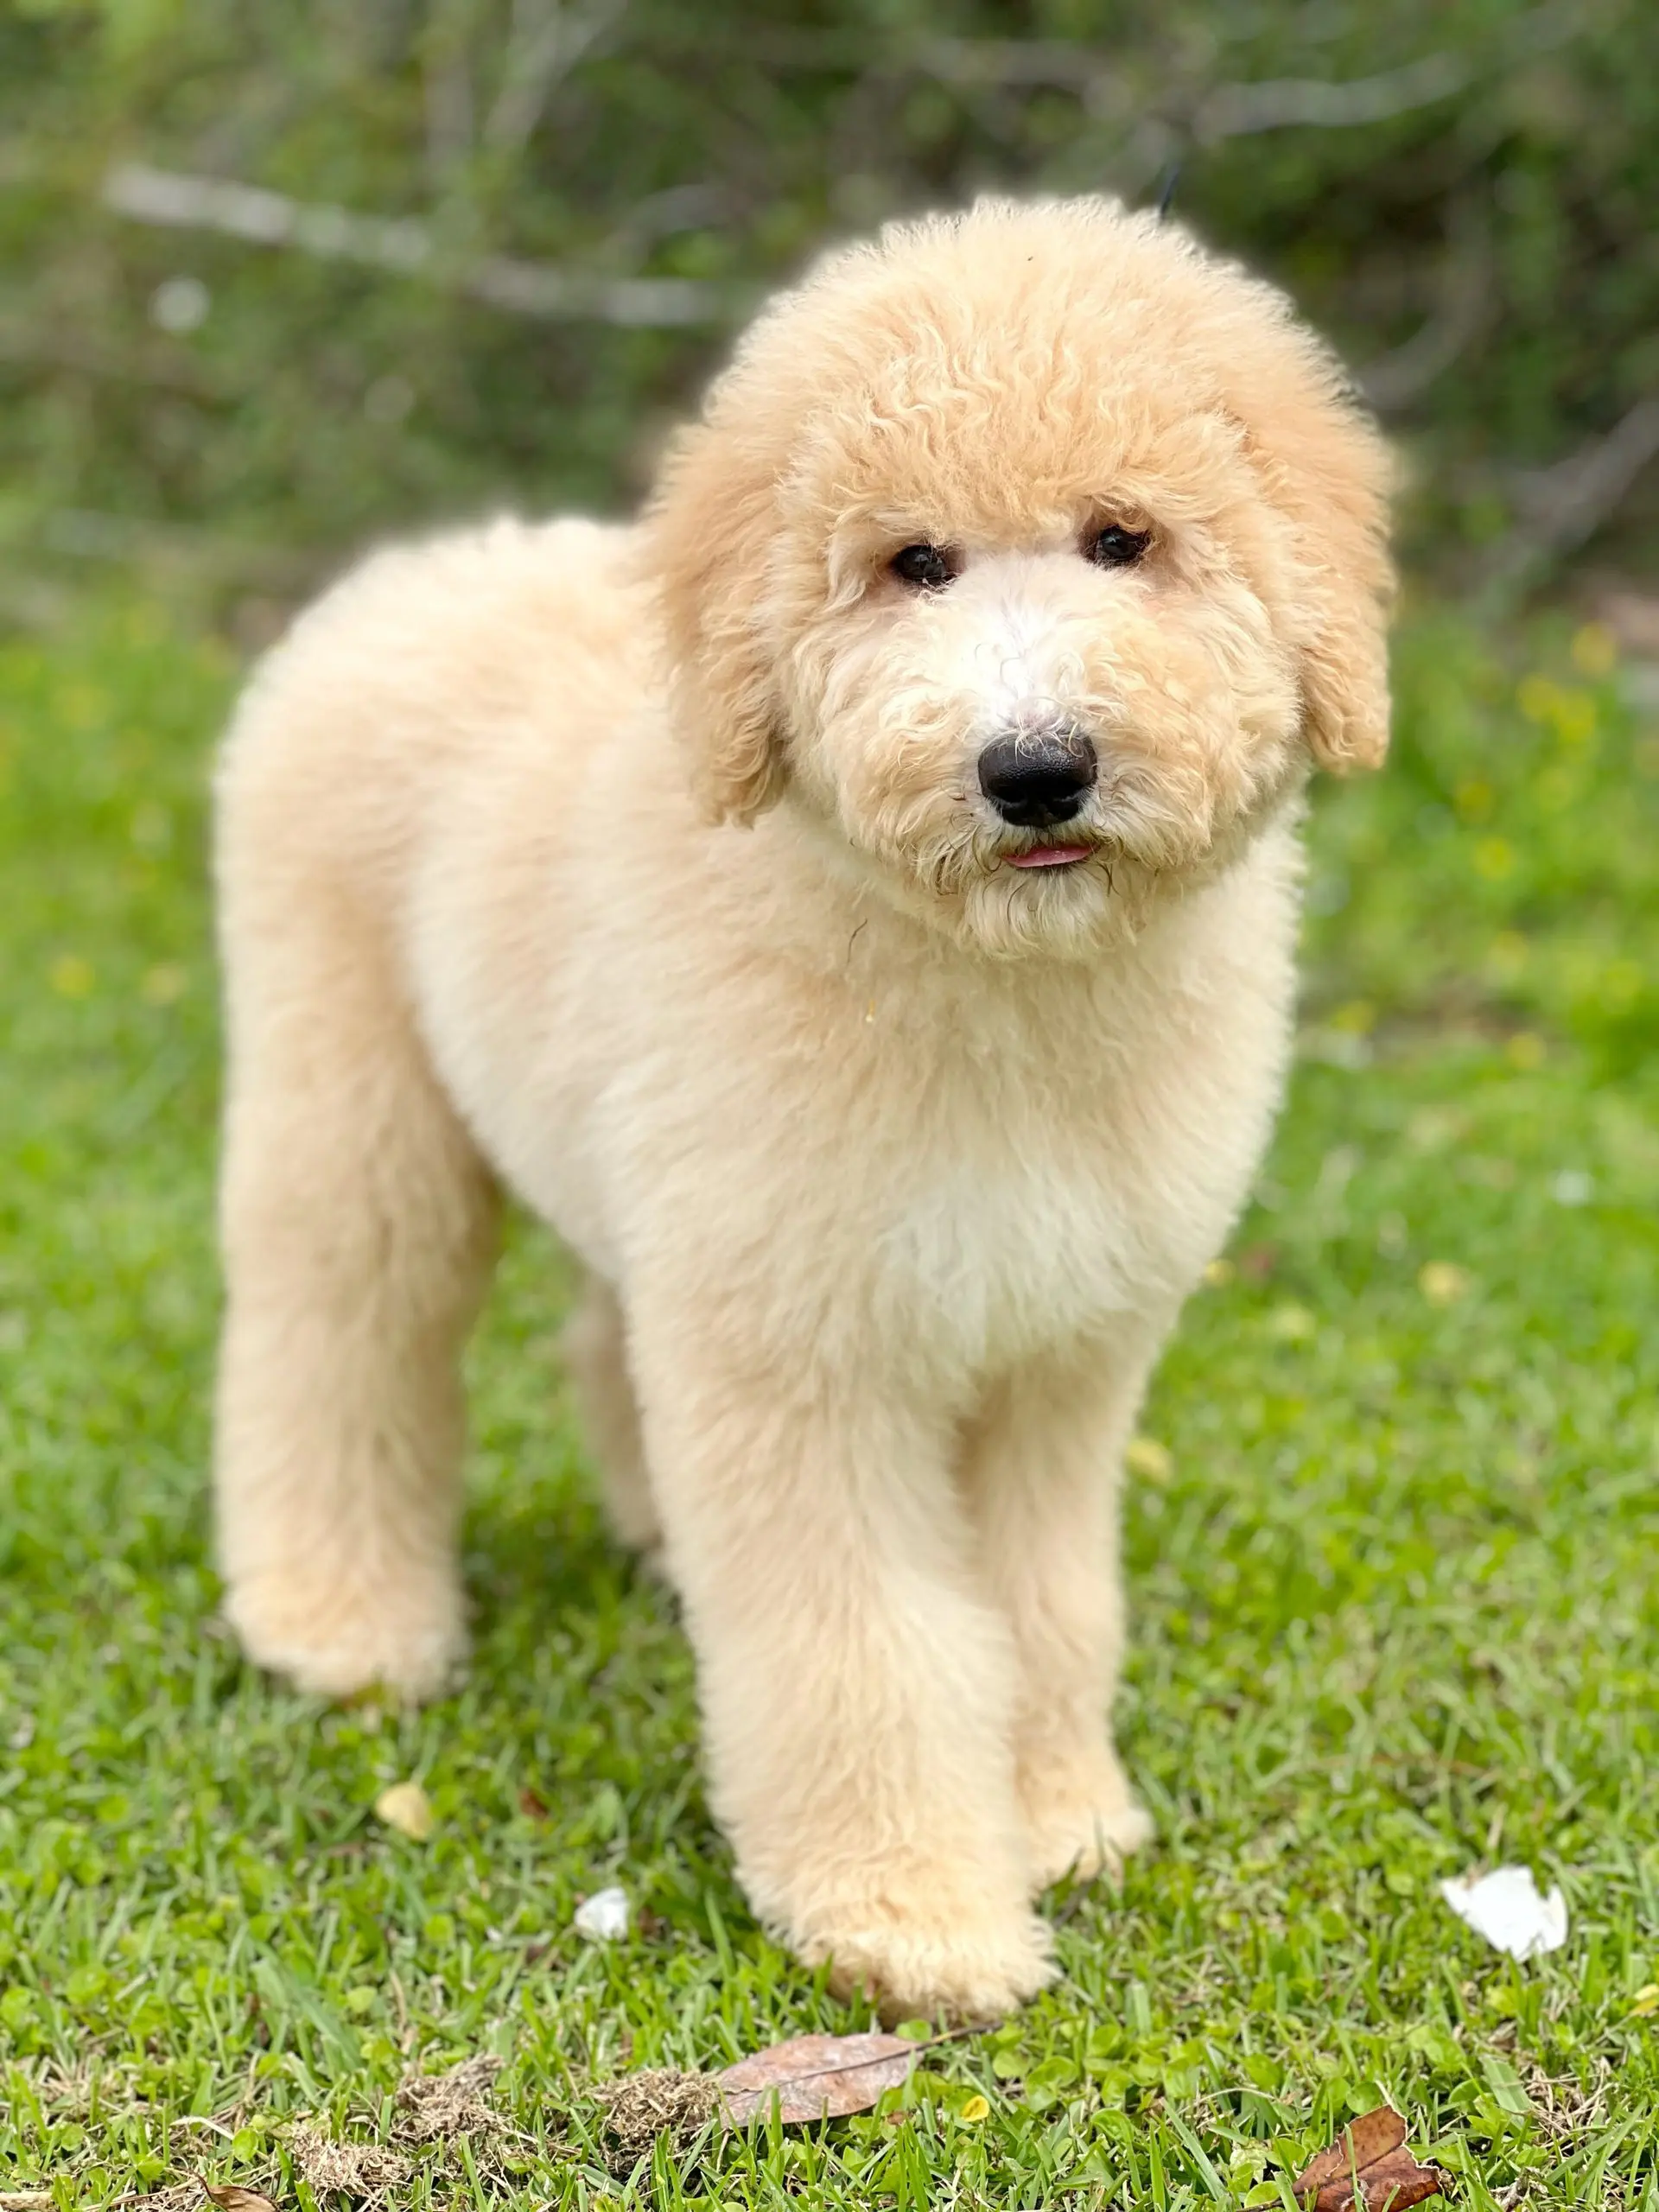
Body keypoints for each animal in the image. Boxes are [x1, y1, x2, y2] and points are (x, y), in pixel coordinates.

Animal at [218, 194, 1389, 2025]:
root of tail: (422, 568)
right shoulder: (806, 1353)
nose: (1034, 770)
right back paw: (337, 1623)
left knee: (598, 1339)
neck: (993, 986)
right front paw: (911, 1916)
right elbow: (865, 1647)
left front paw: (1059, 1816)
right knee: (333, 1330)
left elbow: (1040, 1607)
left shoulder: (1058, 1346)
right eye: (914, 563)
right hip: (352, 1083)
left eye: (1122, 540)